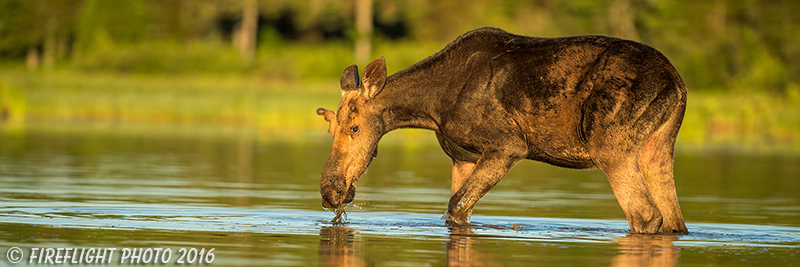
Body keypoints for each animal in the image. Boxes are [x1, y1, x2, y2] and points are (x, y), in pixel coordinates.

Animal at [318, 27, 688, 234]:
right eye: (330, 128)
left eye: (354, 127)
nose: (330, 192)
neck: (430, 109)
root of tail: (677, 82)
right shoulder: (463, 158)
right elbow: (459, 211)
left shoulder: (507, 147)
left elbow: (456, 205)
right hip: (657, 147)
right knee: (674, 221)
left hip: (610, 147)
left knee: (645, 215)